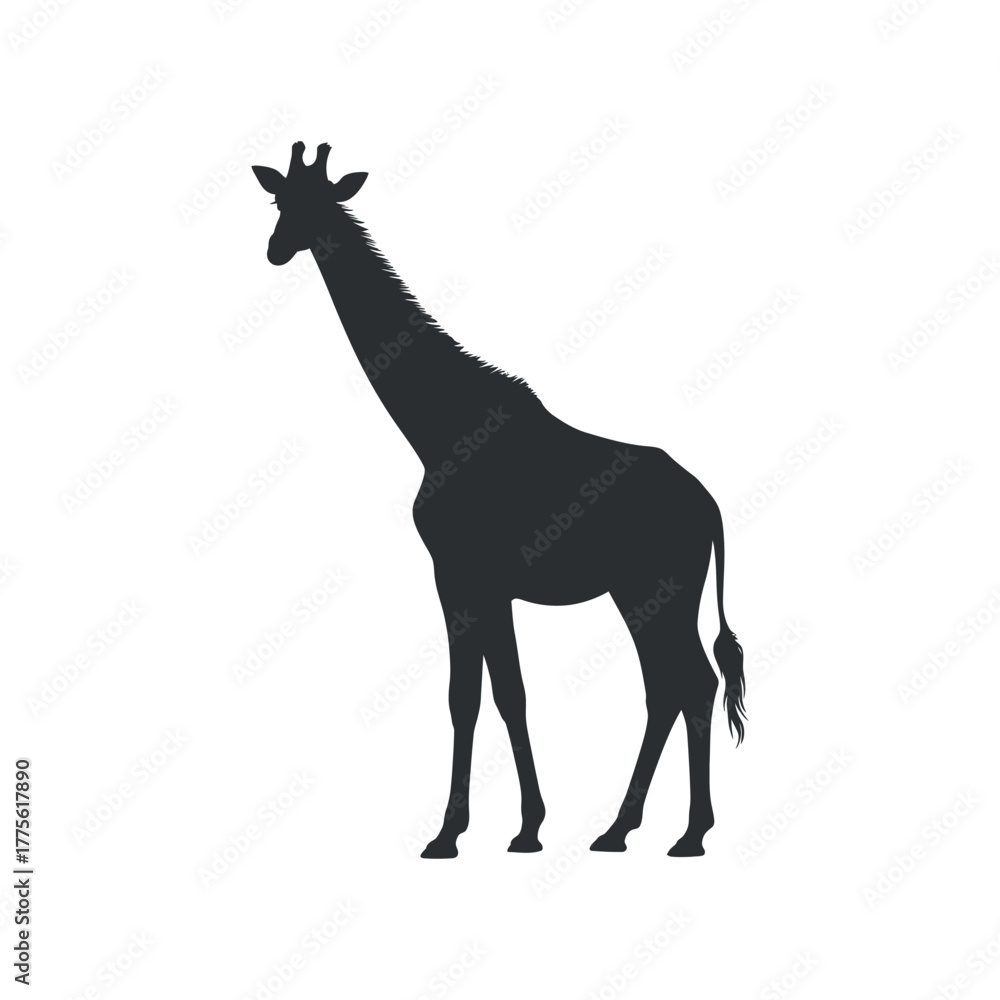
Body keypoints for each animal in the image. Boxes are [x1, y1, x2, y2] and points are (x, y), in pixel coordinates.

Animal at [252, 142, 746, 858]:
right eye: (278, 200)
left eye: (319, 204)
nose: (275, 249)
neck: (439, 428)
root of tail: (709, 507)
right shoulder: (488, 585)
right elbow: (505, 694)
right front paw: (523, 827)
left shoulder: (457, 574)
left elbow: (468, 696)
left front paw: (452, 833)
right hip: (643, 592)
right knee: (673, 687)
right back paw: (625, 829)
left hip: (658, 587)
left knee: (689, 683)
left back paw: (684, 834)